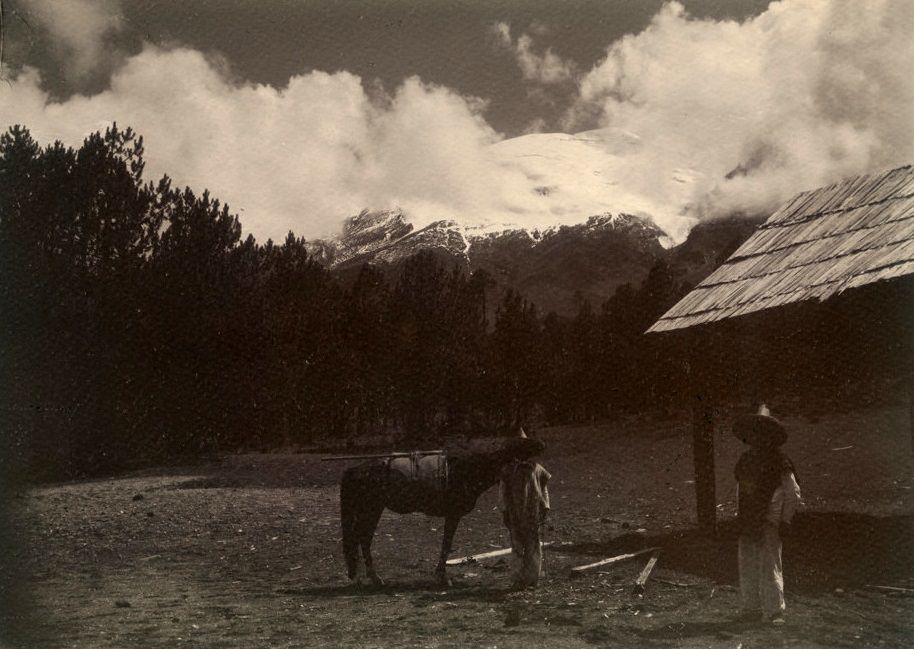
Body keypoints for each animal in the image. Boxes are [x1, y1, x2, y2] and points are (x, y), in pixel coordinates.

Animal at [340, 432, 540, 584]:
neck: (467, 469)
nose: (541, 444)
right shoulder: (453, 514)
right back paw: (371, 577)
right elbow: (447, 543)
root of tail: (357, 470)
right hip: (371, 509)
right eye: (523, 446)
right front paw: (442, 576)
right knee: (363, 538)